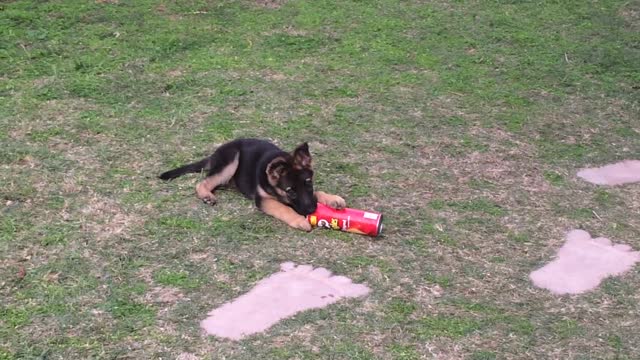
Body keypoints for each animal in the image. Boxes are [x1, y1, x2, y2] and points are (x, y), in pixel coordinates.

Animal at [160, 138, 348, 231]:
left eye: (308, 183)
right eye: (290, 191)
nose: (311, 210)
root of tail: (214, 154)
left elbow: (317, 193)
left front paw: (333, 199)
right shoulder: (264, 200)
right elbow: (284, 208)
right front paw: (298, 220)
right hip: (231, 160)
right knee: (203, 182)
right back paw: (207, 195)